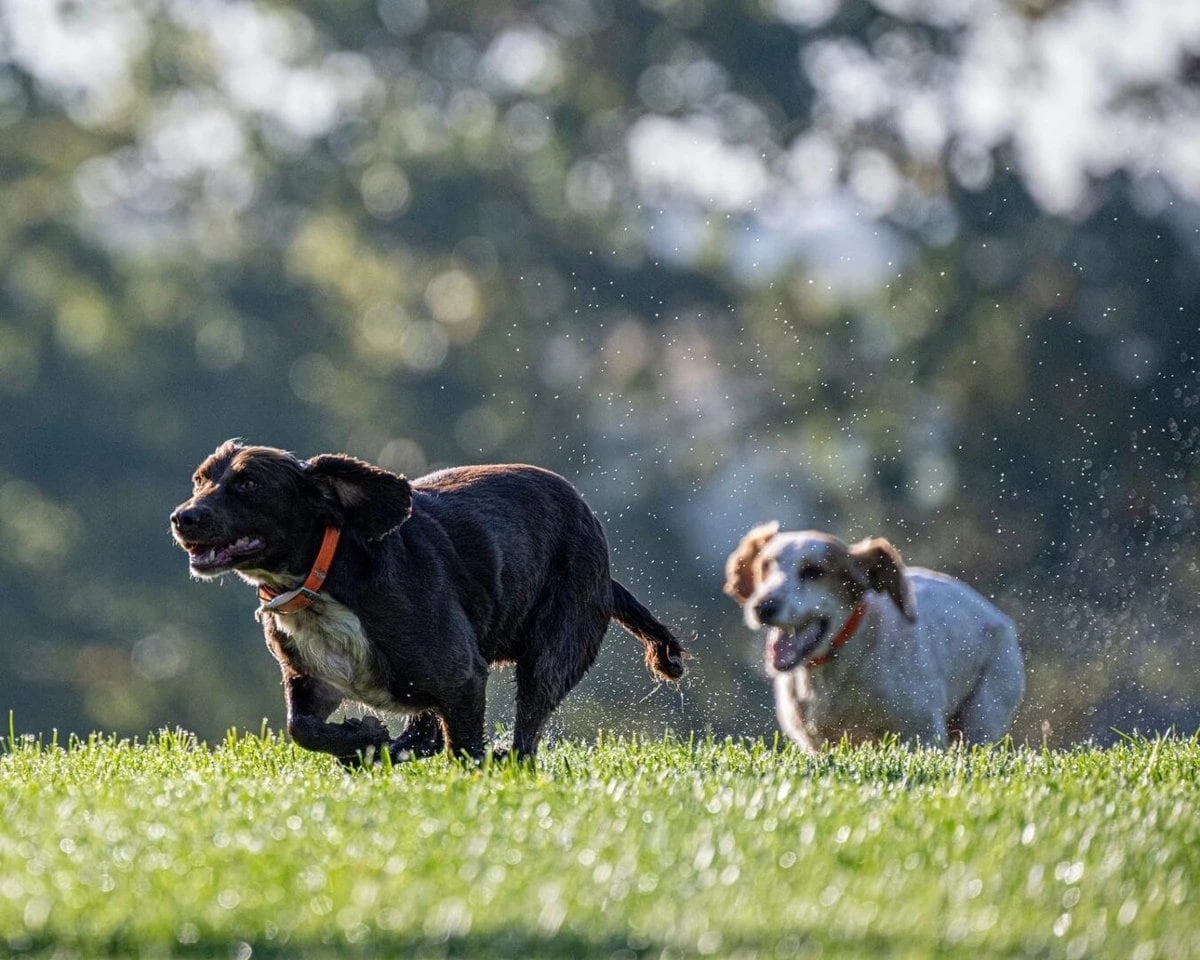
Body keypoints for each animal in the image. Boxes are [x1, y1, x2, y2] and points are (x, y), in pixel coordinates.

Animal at [170, 440, 686, 763]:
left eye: (248, 484)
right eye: (199, 480)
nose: (182, 517)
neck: (326, 577)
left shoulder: (462, 674)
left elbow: (465, 747)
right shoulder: (313, 675)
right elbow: (302, 728)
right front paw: (363, 738)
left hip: (553, 648)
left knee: (527, 727)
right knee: (428, 729)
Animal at [725, 524, 1023, 750]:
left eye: (813, 571)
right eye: (765, 566)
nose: (763, 606)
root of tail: (1002, 619)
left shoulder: (922, 732)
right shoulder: (817, 740)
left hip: (983, 711)